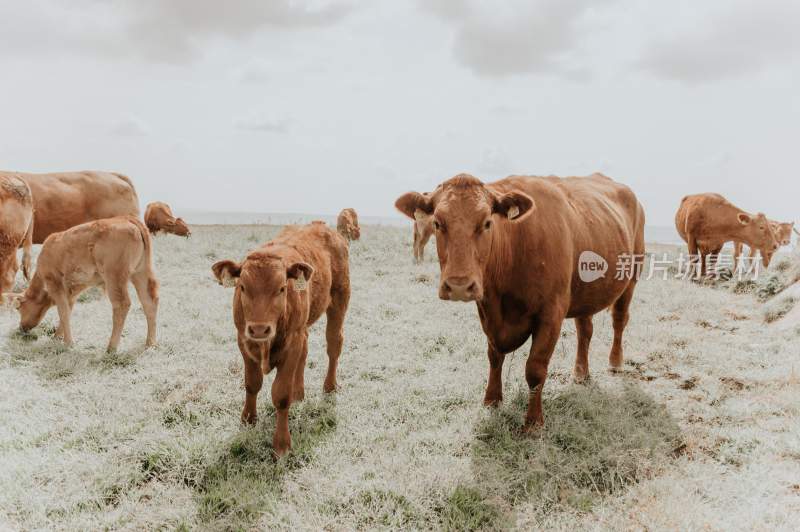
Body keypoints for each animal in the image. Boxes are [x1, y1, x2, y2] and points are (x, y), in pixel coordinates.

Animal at [4, 216, 159, 354]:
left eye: (19, 308)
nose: (21, 328)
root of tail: (128, 219)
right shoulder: (71, 290)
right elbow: (67, 310)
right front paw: (58, 336)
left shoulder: (54, 282)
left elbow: (63, 311)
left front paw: (68, 343)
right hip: (141, 272)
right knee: (149, 301)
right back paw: (150, 344)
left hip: (115, 276)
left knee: (122, 304)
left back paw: (111, 348)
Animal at [212, 222, 350, 456]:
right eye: (242, 287)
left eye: (282, 288)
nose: (259, 329)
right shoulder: (243, 340)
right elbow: (252, 383)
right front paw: (248, 419)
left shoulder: (291, 344)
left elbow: (281, 395)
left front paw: (282, 444)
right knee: (305, 351)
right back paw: (299, 393)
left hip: (339, 300)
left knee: (334, 345)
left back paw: (329, 386)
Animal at [396, 172, 648, 430]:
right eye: (437, 223)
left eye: (487, 222)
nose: (459, 286)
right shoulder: (488, 314)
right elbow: (494, 357)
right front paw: (492, 400)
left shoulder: (551, 314)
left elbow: (535, 369)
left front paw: (534, 422)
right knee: (585, 330)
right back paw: (580, 373)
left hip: (631, 276)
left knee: (619, 320)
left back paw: (615, 362)